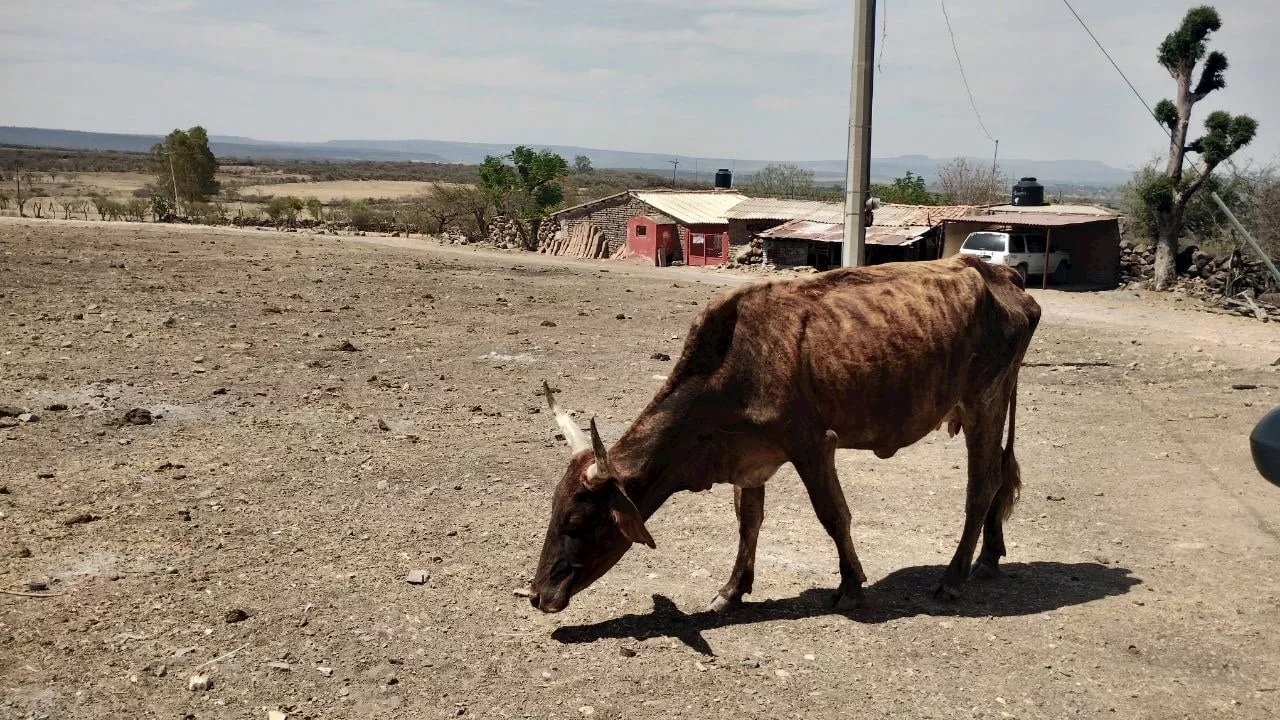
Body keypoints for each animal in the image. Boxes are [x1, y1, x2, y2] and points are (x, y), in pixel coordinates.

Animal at [529, 252, 1039, 609]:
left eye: (578, 521)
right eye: (551, 512)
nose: (537, 595)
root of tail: (998, 273)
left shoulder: (812, 444)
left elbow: (833, 516)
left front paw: (851, 586)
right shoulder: (751, 458)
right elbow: (748, 521)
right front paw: (732, 589)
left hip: (984, 403)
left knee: (982, 486)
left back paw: (954, 579)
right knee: (998, 479)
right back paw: (989, 557)